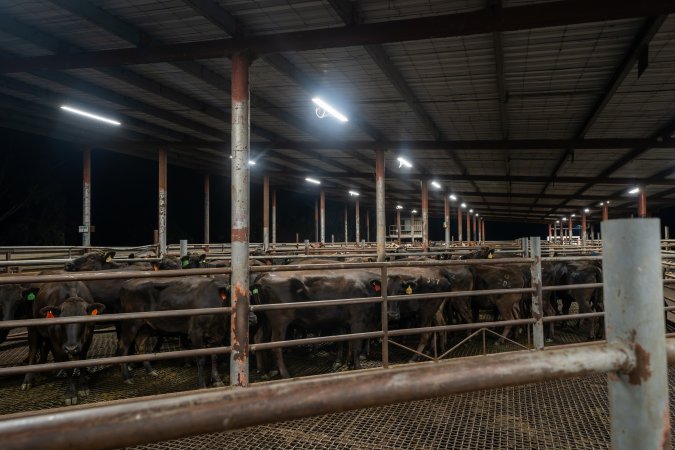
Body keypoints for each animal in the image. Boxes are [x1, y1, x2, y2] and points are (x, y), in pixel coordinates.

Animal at [117, 276, 252, 388]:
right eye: (234, 299)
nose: (252, 318)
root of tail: (127, 282)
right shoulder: (196, 332)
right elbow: (201, 358)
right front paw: (202, 385)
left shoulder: (216, 334)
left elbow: (214, 356)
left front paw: (216, 380)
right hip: (131, 324)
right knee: (124, 347)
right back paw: (126, 377)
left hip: (147, 326)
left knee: (141, 344)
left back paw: (150, 371)